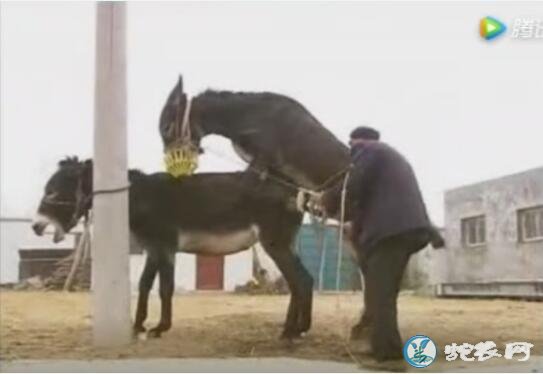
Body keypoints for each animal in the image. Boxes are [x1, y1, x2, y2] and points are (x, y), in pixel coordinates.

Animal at [33, 158, 314, 338]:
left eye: (52, 192)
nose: (36, 227)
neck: (140, 198)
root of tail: (296, 189)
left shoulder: (165, 246)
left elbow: (165, 287)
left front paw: (160, 328)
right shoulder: (153, 248)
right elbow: (144, 284)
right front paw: (138, 326)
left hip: (274, 243)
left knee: (298, 281)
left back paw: (291, 331)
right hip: (285, 243)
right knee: (303, 280)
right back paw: (297, 330)